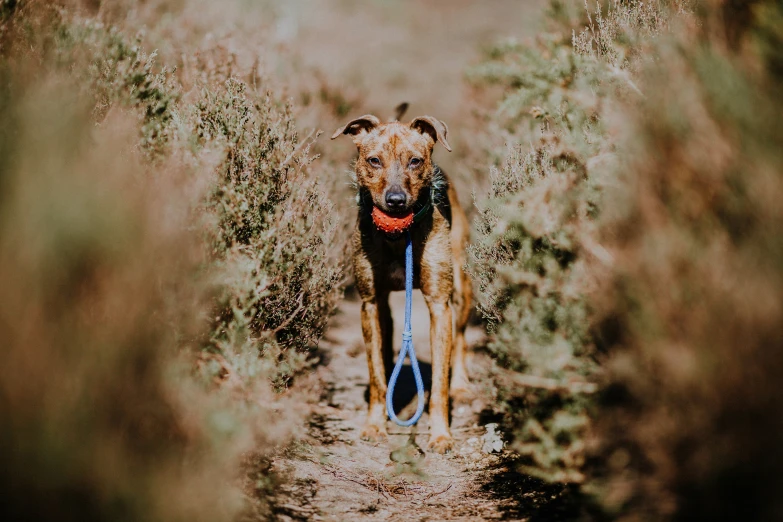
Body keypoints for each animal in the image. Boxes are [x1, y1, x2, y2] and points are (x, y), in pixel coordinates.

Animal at [330, 105, 472, 450]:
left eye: (415, 161)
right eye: (373, 160)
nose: (395, 201)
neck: (397, 238)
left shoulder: (439, 305)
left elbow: (440, 384)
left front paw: (441, 434)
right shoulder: (370, 303)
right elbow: (377, 375)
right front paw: (374, 425)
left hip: (461, 289)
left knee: (462, 341)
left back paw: (462, 386)